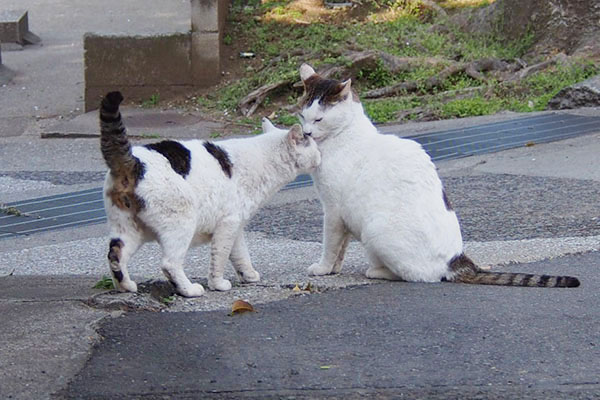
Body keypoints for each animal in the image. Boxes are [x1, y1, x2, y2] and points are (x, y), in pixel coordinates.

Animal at [101, 91, 322, 296]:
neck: (263, 160)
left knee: (115, 255)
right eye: (314, 145)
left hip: (128, 228)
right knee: (169, 264)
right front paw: (218, 284)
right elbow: (220, 257)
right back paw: (189, 290)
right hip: (181, 223)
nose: (321, 155)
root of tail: (132, 162)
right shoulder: (228, 223)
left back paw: (125, 286)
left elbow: (240, 253)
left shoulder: (235, 226)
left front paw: (248, 275)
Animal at [298, 63, 580, 288]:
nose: (306, 133)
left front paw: (323, 269)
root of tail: (457, 259)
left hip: (375, 232)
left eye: (319, 119)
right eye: (302, 116)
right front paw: (334, 269)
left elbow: (331, 245)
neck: (345, 135)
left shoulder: (333, 211)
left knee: (417, 275)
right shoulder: (342, 217)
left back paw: (377, 271)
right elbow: (341, 248)